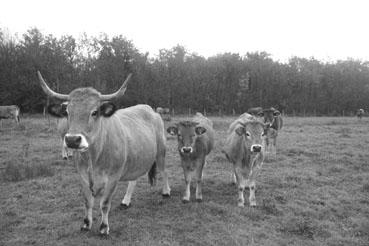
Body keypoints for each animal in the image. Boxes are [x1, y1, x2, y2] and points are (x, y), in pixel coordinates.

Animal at [37, 70, 170, 235]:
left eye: (94, 112)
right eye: (67, 112)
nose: (72, 140)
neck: (93, 158)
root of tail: (150, 110)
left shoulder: (113, 177)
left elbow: (105, 203)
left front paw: (104, 227)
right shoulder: (82, 176)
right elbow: (87, 201)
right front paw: (86, 223)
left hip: (161, 151)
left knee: (164, 171)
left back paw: (166, 192)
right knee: (133, 179)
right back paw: (126, 201)